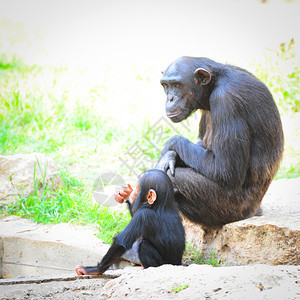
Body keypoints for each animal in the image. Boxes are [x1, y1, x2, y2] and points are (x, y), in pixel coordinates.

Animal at [156, 56, 284, 227]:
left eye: (177, 85)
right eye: (165, 85)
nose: (170, 98)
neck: (214, 84)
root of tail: (254, 212)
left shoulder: (226, 101)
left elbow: (224, 168)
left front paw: (169, 147)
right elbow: (201, 143)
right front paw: (171, 156)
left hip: (230, 208)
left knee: (174, 179)